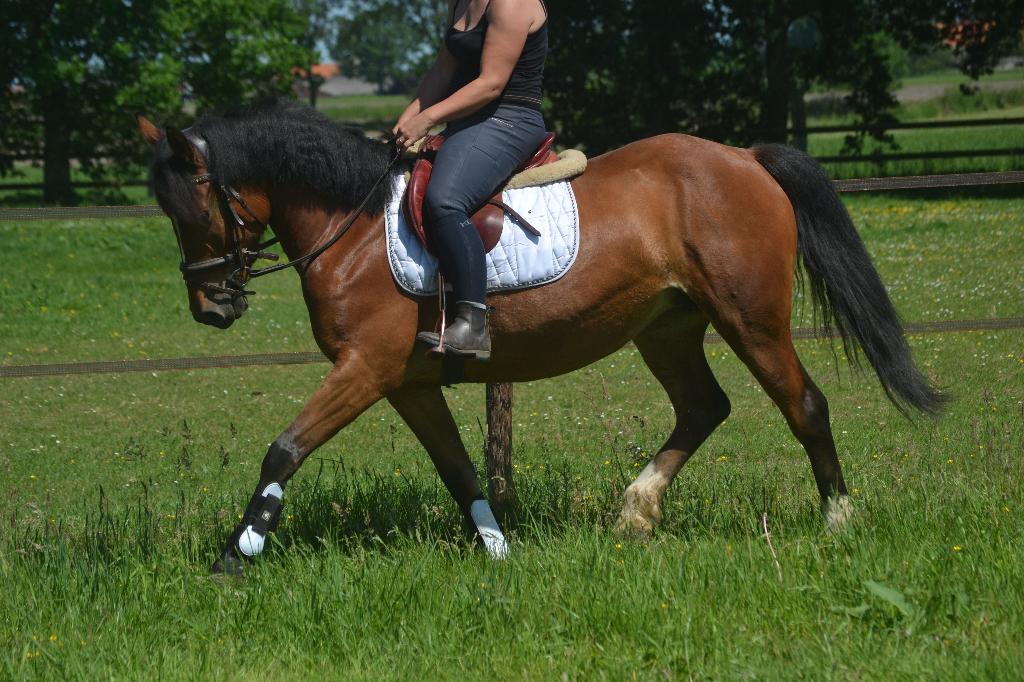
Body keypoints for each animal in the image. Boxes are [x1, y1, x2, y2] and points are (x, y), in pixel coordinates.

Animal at [136, 102, 942, 575]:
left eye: (195, 209)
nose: (211, 307)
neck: (353, 223)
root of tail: (742, 158)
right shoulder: (407, 383)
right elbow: (459, 470)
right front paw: (497, 552)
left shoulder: (365, 369)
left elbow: (285, 448)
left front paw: (236, 555)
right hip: (668, 328)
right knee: (704, 408)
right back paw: (635, 512)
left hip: (753, 321)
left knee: (804, 406)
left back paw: (837, 521)